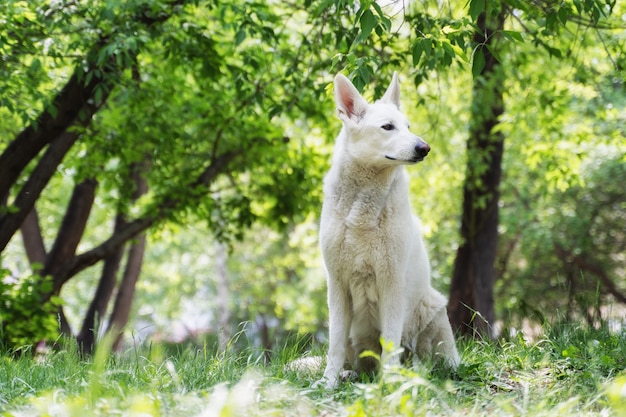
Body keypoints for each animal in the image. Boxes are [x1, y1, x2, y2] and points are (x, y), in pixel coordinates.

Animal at [316, 73, 458, 388]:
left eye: (408, 126)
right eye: (387, 127)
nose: (424, 148)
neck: (363, 210)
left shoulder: (391, 282)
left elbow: (391, 340)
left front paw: (391, 384)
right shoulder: (337, 285)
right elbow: (334, 344)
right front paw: (329, 382)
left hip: (435, 308)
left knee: (431, 356)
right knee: (352, 359)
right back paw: (348, 374)